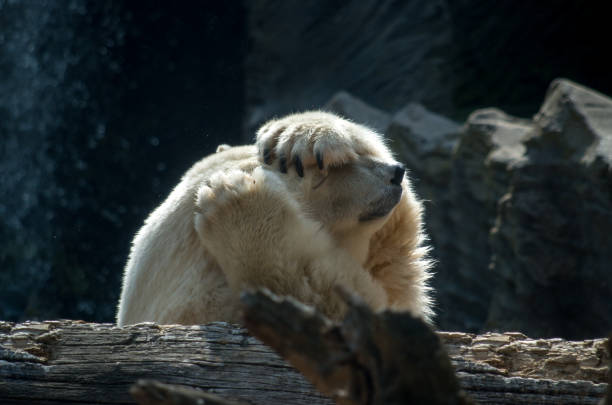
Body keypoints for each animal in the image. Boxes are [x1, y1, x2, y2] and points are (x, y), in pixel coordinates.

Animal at [117, 110, 432, 326]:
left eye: (334, 165)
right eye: (320, 179)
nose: (394, 174)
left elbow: (396, 273)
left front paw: (297, 134)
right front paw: (243, 209)